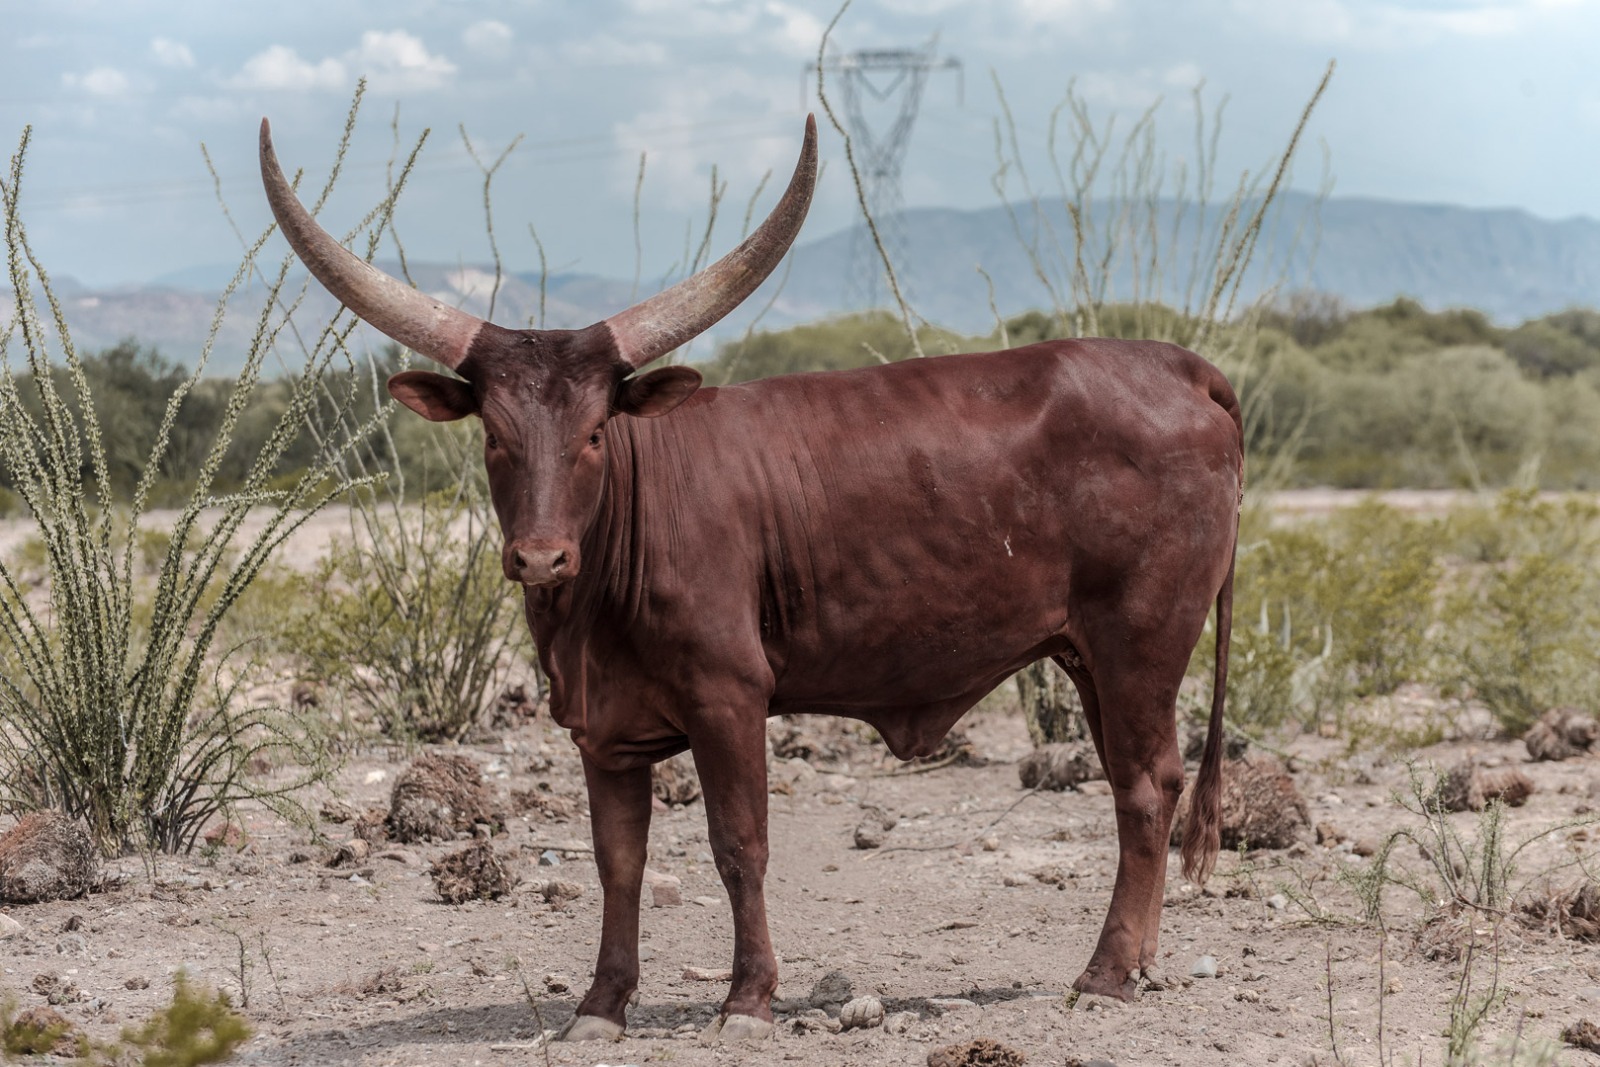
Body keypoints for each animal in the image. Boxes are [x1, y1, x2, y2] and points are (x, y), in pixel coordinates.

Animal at [259, 116, 1235, 1043]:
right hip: (1089, 655)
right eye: (495, 436)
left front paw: (749, 997)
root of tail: (1181, 366)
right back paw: (1140, 961)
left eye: (593, 432)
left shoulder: (729, 695)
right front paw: (602, 1003)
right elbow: (620, 861)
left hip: (1141, 641)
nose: (540, 558)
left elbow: (739, 844)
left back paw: (1104, 973)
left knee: (1145, 787)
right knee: (1143, 787)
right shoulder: (604, 731)